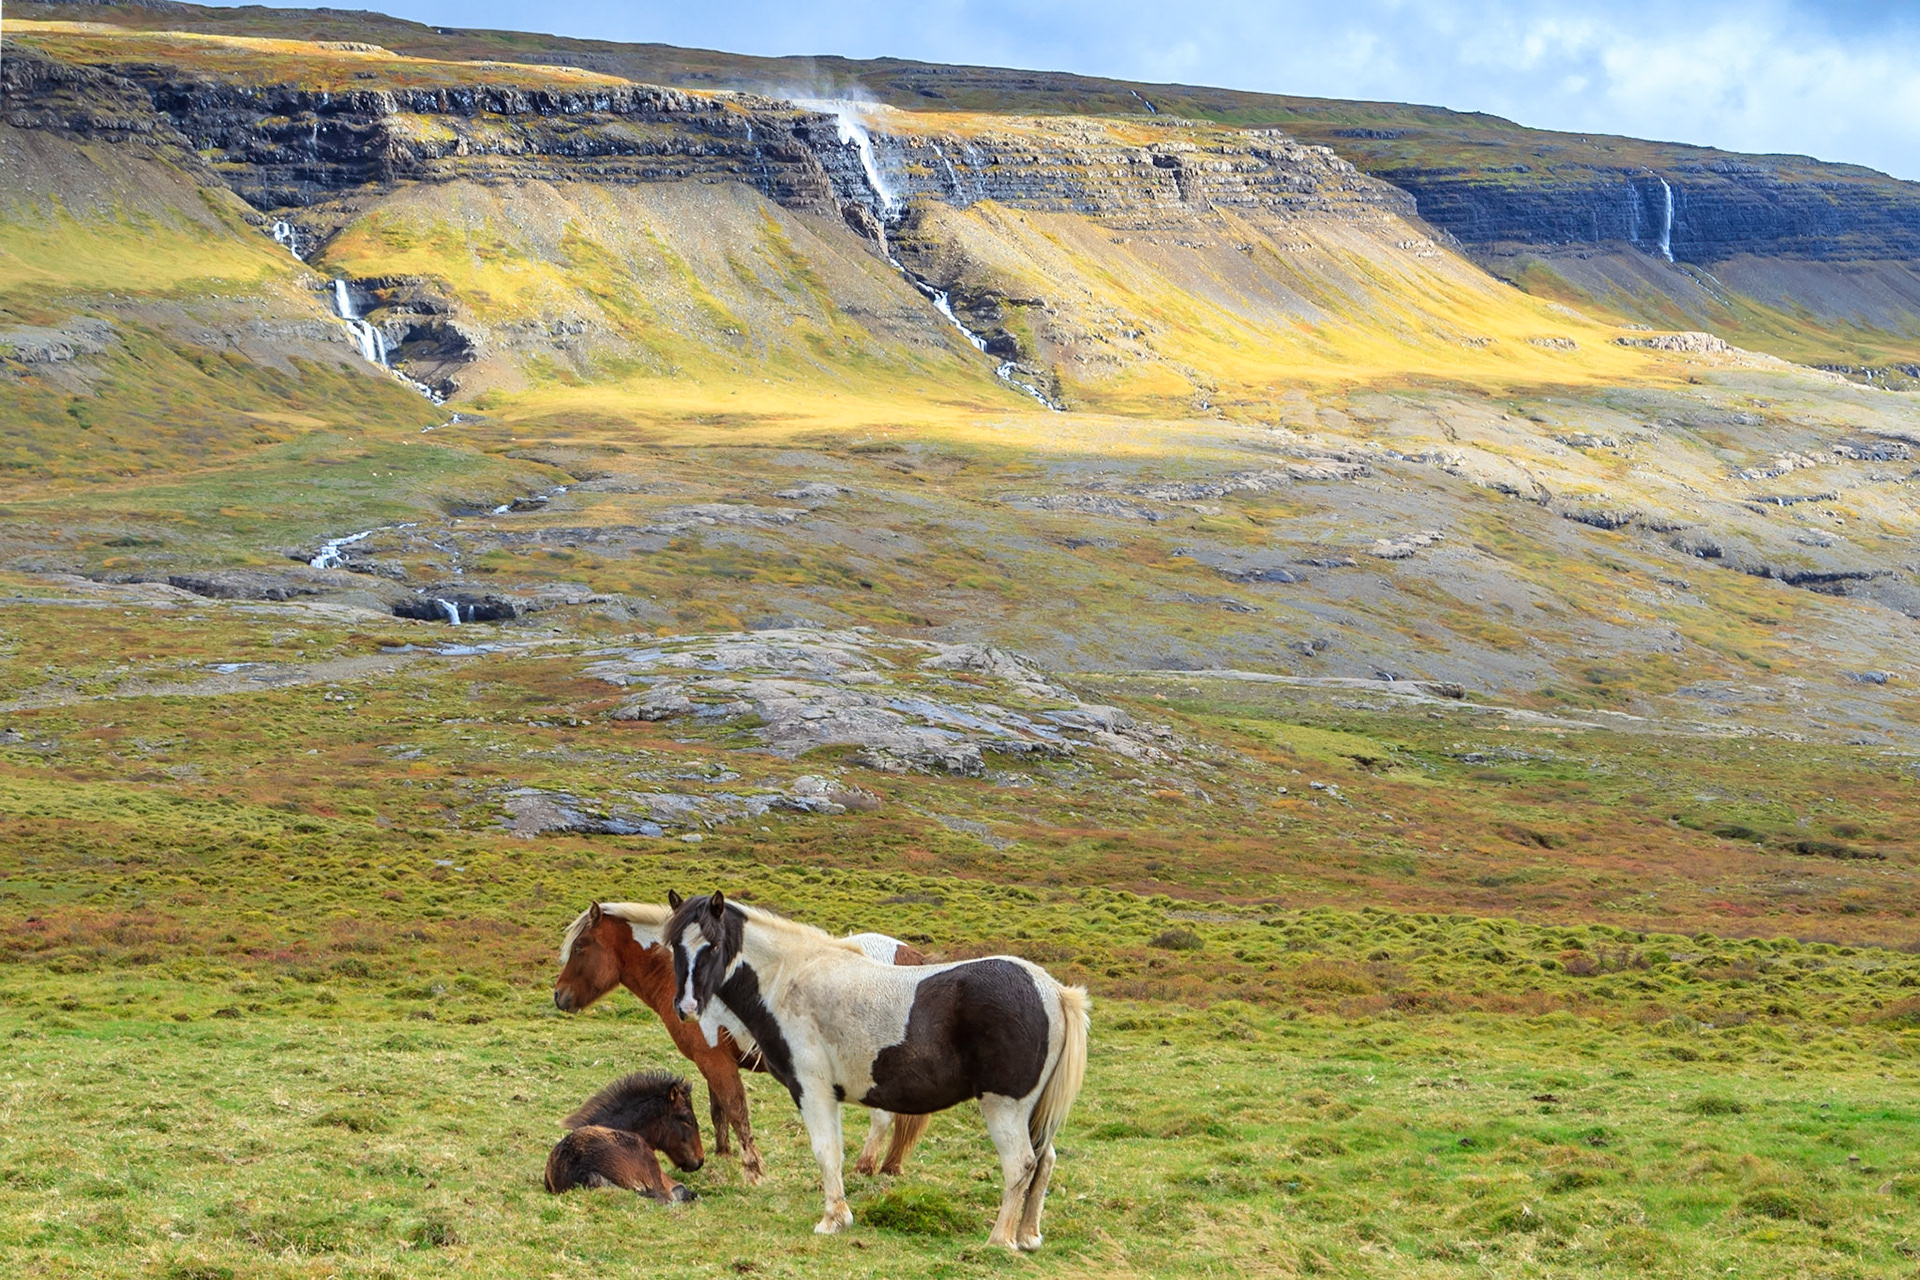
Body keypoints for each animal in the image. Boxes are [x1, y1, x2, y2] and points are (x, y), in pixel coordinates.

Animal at [553, 901, 932, 1184]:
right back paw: (888, 1166)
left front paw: (754, 1170)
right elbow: (718, 1109)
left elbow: (736, 1110)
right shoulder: (710, 1060)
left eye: (580, 947)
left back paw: (864, 1167)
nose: (559, 996)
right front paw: (723, 1155)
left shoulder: (716, 1060)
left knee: (882, 1117)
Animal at [662, 890, 1090, 1251]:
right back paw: (1028, 1236)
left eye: (714, 945)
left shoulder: (812, 1090)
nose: (686, 1007)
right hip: (1034, 1113)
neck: (789, 979)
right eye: (675, 947)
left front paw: (833, 1219)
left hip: (1005, 1107)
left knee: (1021, 1164)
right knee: (1045, 1162)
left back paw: (999, 1242)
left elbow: (826, 1152)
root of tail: (1053, 991)